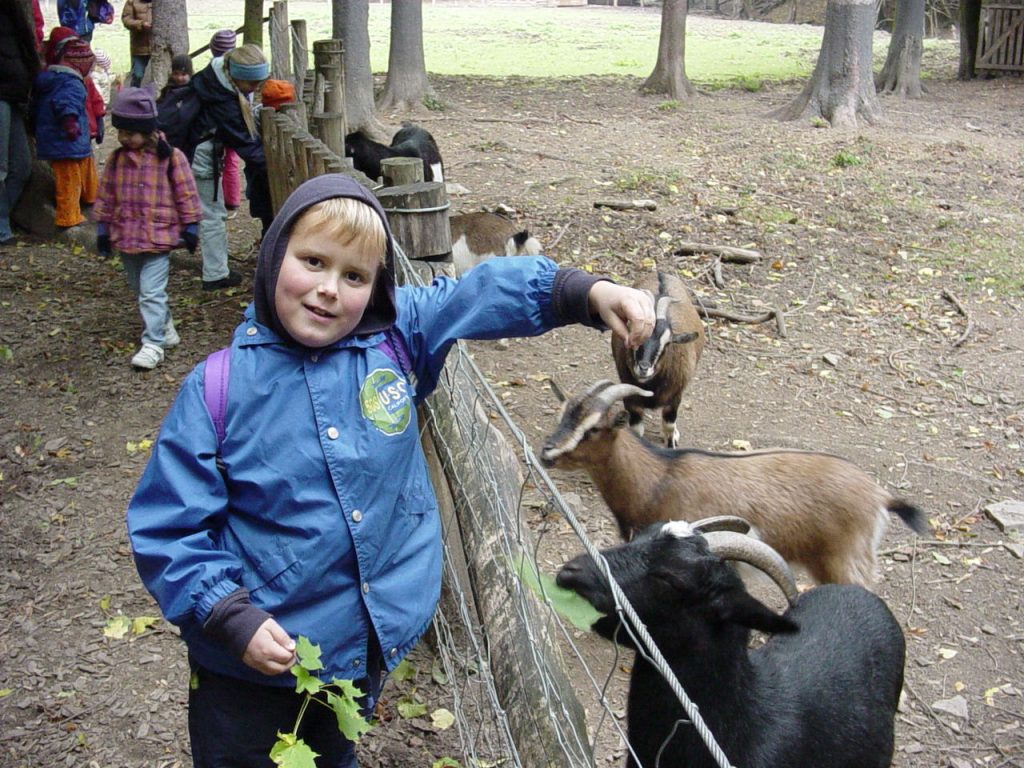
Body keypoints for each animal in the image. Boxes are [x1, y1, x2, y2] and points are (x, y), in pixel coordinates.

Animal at [540, 380, 930, 586]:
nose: (547, 452)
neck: (658, 477)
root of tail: (880, 496)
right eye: (562, 414)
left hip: (843, 562)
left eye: (593, 428)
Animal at [611, 270, 704, 448]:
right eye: (632, 334)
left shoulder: (675, 397)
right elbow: (637, 431)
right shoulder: (631, 399)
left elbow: (669, 426)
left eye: (667, 343)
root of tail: (660, 273)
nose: (643, 368)